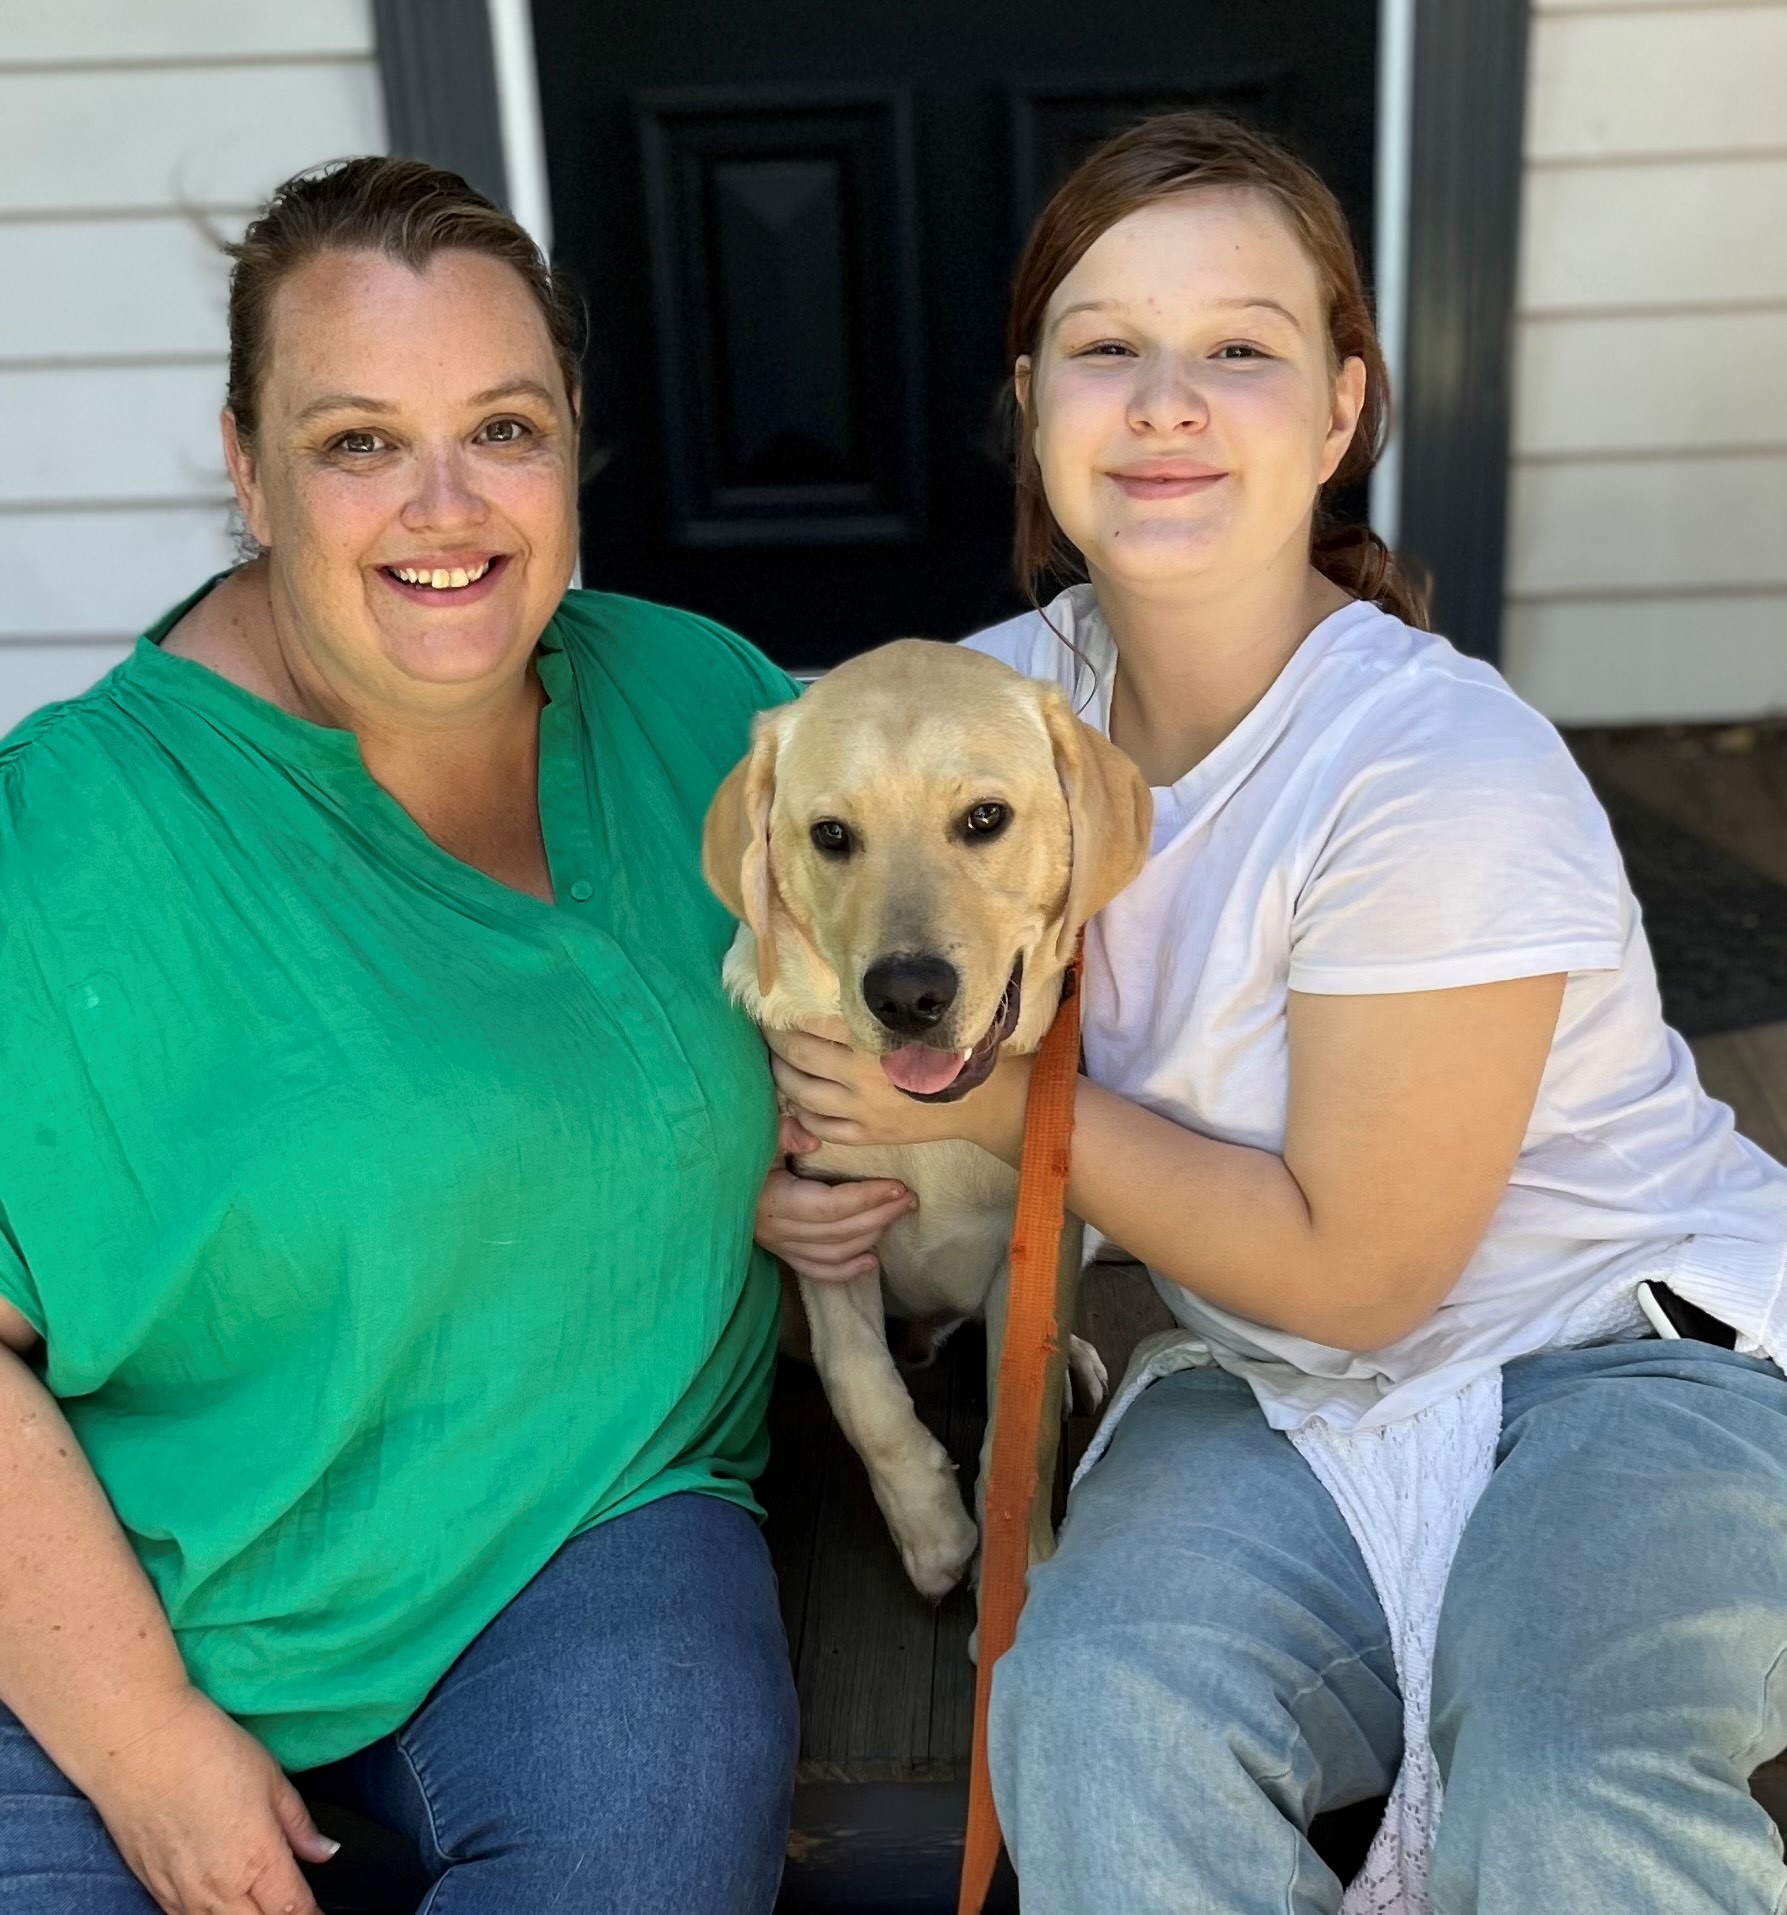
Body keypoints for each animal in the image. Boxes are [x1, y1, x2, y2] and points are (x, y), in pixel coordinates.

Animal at [697, 643, 1141, 1600]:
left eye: (984, 818)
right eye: (831, 835)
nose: (907, 995)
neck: (930, 1125)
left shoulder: (1037, 1242)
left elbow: (1022, 1426)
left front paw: (1013, 1571)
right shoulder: (826, 1232)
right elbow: (862, 1387)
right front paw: (934, 1533)